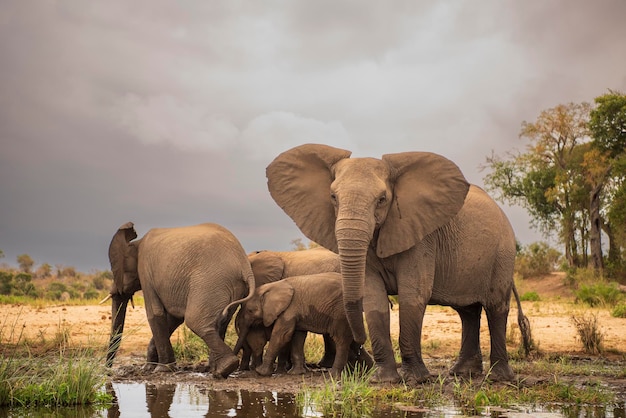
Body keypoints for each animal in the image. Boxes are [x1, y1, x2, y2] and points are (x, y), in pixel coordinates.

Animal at [105, 220, 254, 378]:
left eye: (114, 271)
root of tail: (245, 267)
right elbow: (173, 318)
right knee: (221, 322)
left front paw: (161, 369)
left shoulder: (146, 272)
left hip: (210, 282)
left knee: (195, 321)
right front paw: (149, 368)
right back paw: (215, 371)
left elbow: (155, 314)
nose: (107, 370)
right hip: (230, 286)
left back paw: (225, 368)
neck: (136, 243)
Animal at [234, 272, 370, 378]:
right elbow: (298, 336)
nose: (235, 370)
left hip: (340, 312)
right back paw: (368, 369)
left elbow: (282, 335)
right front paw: (296, 373)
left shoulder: (290, 308)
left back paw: (333, 375)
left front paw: (261, 372)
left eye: (250, 311)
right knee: (352, 341)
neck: (273, 286)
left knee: (340, 340)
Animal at [266, 145, 528, 386]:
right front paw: (383, 380)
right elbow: (374, 298)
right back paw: (462, 373)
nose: (358, 345)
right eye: (333, 197)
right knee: (468, 312)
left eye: (382, 200)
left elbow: (413, 295)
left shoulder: (421, 236)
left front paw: (415, 380)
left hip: (503, 253)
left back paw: (498, 378)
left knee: (496, 308)